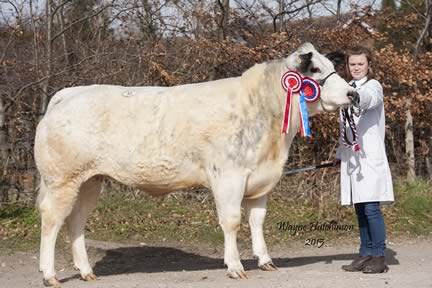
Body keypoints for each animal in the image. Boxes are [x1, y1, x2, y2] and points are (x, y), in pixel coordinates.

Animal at [33, 42, 356, 286]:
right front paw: (235, 266)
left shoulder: (259, 179)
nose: (352, 93)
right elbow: (232, 221)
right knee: (52, 220)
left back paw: (86, 271)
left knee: (76, 221)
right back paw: (50, 275)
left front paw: (265, 260)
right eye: (315, 70)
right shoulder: (228, 176)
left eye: (332, 66)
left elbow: (257, 220)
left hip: (90, 180)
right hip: (62, 180)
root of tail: (69, 93)